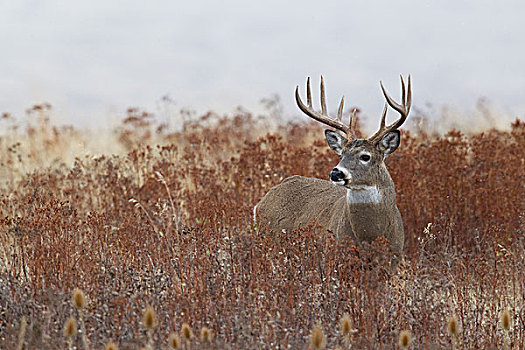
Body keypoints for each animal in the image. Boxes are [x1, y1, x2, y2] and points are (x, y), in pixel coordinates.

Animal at [253, 75, 410, 264]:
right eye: (341, 154)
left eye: (365, 156)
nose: (336, 173)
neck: (371, 236)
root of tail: (261, 203)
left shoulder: (396, 257)